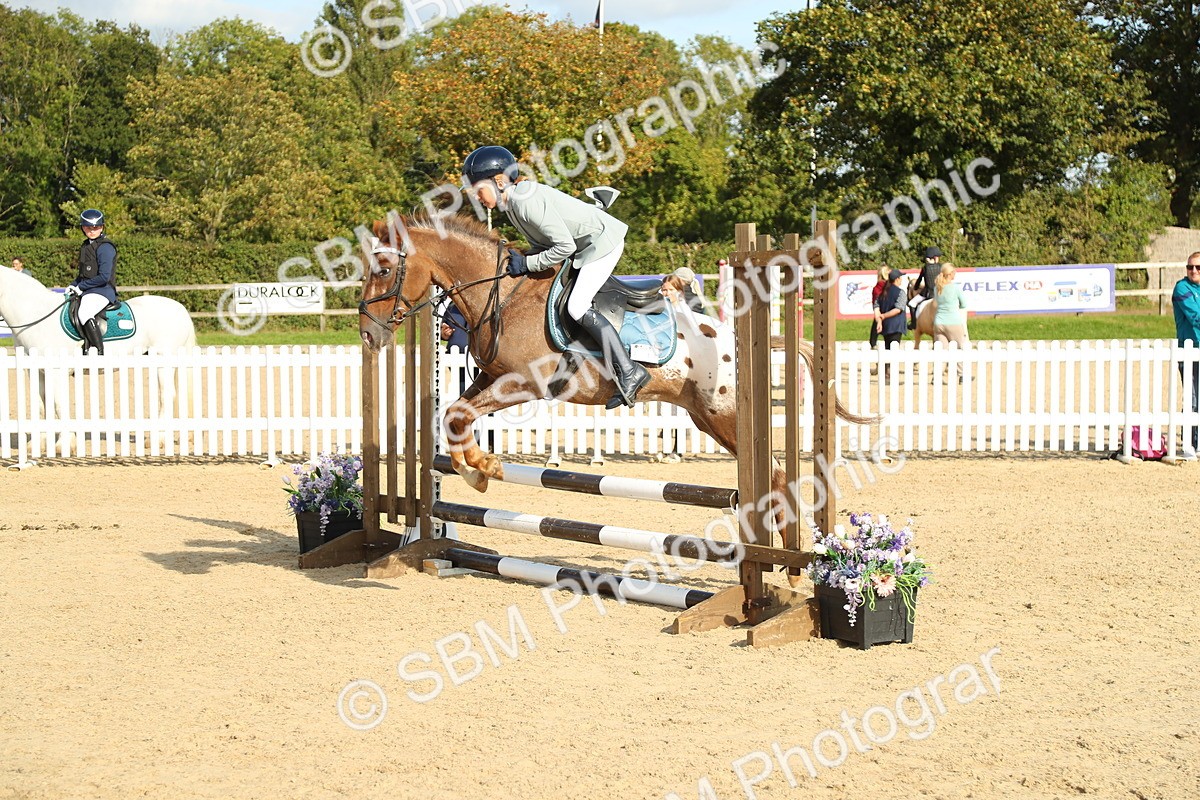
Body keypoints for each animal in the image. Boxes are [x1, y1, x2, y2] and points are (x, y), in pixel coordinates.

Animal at [0, 267, 196, 451]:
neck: (37, 316)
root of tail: (181, 309)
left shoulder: (57, 372)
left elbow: (59, 405)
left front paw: (64, 444)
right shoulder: (36, 372)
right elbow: (42, 406)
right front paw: (37, 444)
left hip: (164, 361)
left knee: (167, 396)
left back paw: (157, 440)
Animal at [358, 215, 875, 542]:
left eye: (383, 269)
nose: (367, 333)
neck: (504, 294)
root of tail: (733, 338)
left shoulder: (524, 383)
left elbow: (460, 413)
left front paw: (484, 468)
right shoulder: (493, 378)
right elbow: (455, 414)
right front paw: (475, 470)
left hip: (724, 415)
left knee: (777, 476)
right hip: (708, 419)